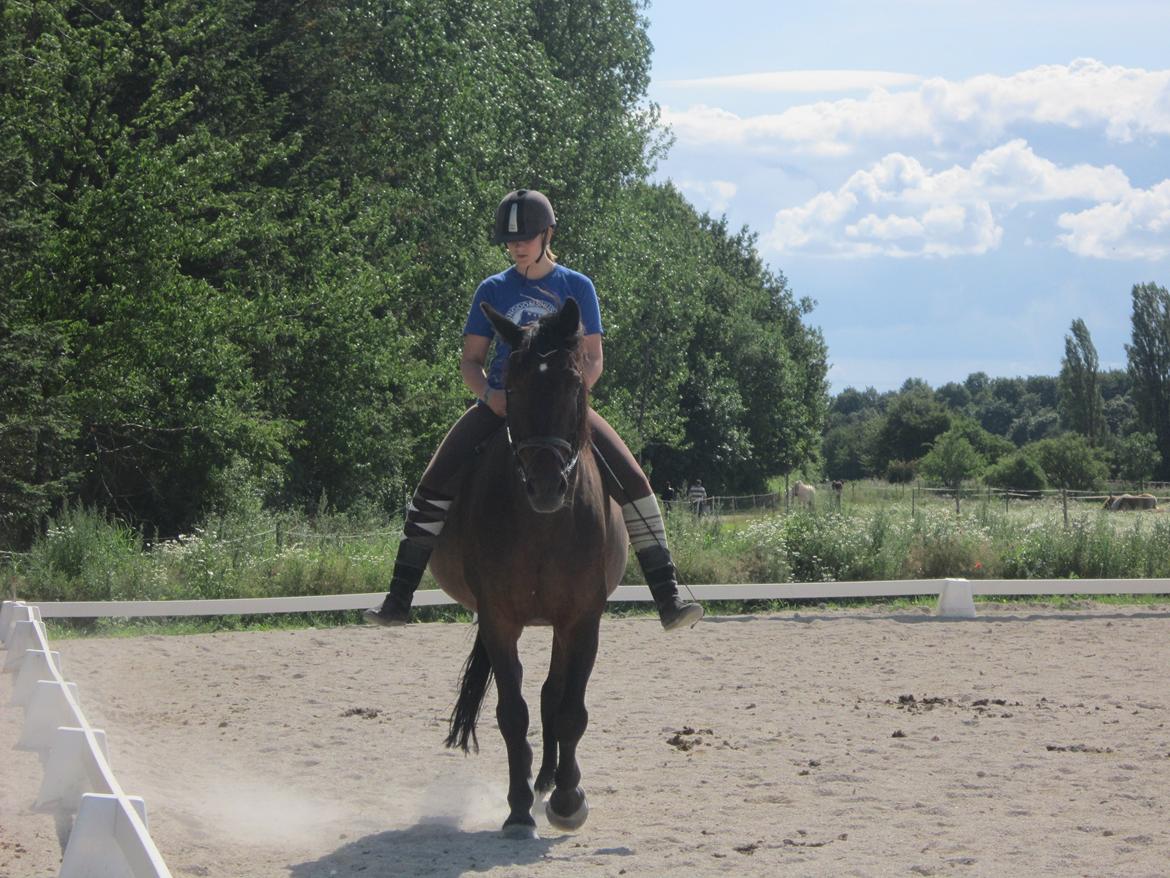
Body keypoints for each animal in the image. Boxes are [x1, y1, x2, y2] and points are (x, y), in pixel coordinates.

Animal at [430, 299, 631, 842]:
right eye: (513, 388)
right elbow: (512, 714)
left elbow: (570, 711)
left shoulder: (582, 620)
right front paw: (518, 809)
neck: (543, 525)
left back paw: (552, 784)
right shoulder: (499, 620)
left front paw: (567, 800)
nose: (545, 485)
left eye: (574, 384)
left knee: (553, 696)